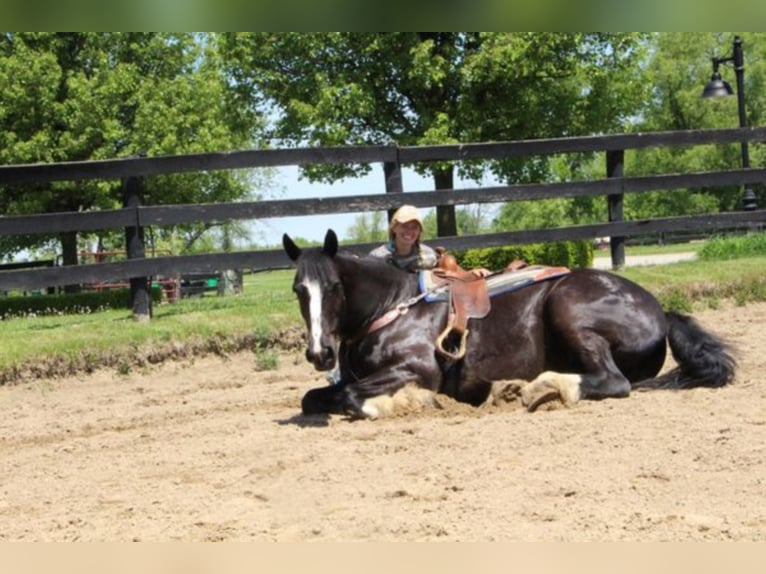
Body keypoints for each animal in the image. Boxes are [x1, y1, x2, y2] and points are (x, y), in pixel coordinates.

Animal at [282, 230, 736, 418]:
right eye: (298, 289)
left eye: (334, 287)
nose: (319, 353)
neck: (395, 307)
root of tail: (659, 310)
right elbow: (314, 398)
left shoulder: (418, 369)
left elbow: (352, 397)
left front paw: (399, 404)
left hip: (568, 308)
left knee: (613, 381)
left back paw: (538, 388)